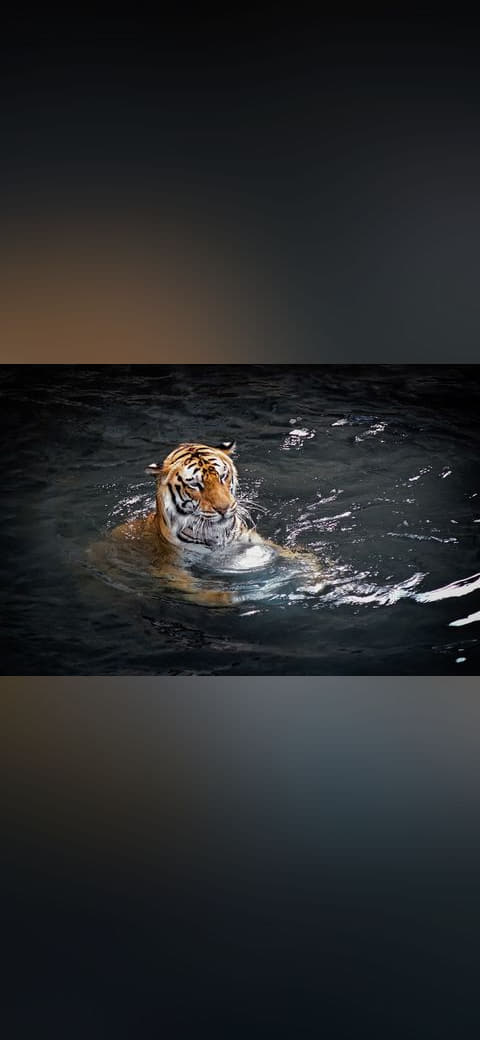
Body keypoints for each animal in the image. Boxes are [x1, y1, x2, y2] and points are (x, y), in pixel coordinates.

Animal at [91, 441, 322, 607]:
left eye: (223, 476)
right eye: (195, 484)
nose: (224, 508)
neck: (217, 533)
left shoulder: (251, 539)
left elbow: (293, 555)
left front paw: (316, 575)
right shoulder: (172, 566)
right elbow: (208, 593)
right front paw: (235, 595)